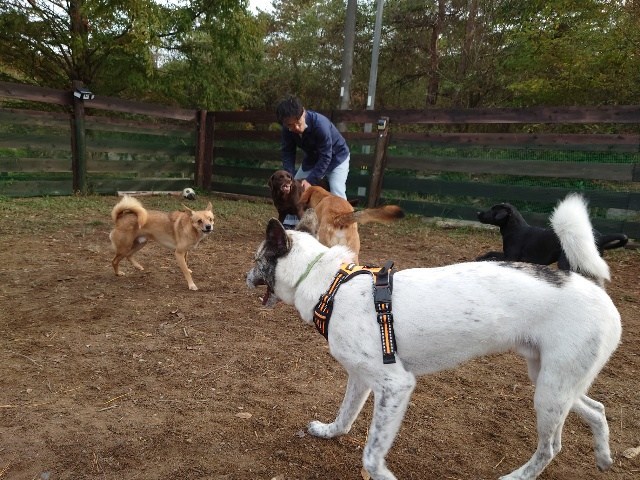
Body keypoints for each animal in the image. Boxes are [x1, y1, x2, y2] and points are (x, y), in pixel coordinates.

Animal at [478, 202, 628, 270]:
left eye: (493, 209)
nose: (478, 213)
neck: (515, 229)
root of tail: (601, 237)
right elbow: (490, 252)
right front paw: (480, 257)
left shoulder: (510, 257)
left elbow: (493, 257)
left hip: (565, 262)